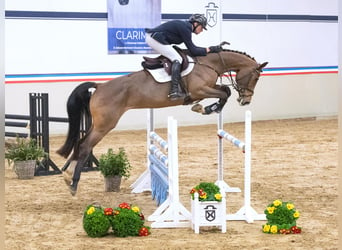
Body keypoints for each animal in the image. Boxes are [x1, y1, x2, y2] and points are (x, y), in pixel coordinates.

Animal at [57, 43, 268, 195]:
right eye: (256, 78)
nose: (245, 101)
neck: (209, 63)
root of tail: (99, 87)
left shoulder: (206, 88)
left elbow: (224, 90)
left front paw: (202, 107)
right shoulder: (200, 89)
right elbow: (225, 93)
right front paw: (208, 108)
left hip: (99, 124)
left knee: (80, 143)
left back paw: (67, 175)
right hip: (105, 125)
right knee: (85, 146)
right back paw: (73, 184)